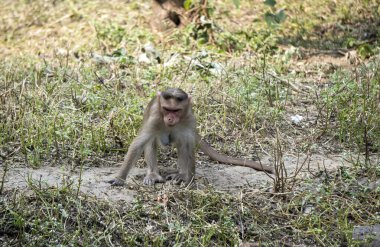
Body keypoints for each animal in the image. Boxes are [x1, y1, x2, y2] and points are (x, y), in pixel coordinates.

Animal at [108, 88, 274, 186]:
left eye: (176, 110)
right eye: (167, 109)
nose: (170, 118)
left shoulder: (189, 119)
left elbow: (188, 146)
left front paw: (188, 178)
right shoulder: (155, 117)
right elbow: (139, 143)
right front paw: (120, 178)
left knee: (182, 144)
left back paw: (181, 174)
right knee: (150, 142)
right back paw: (153, 174)